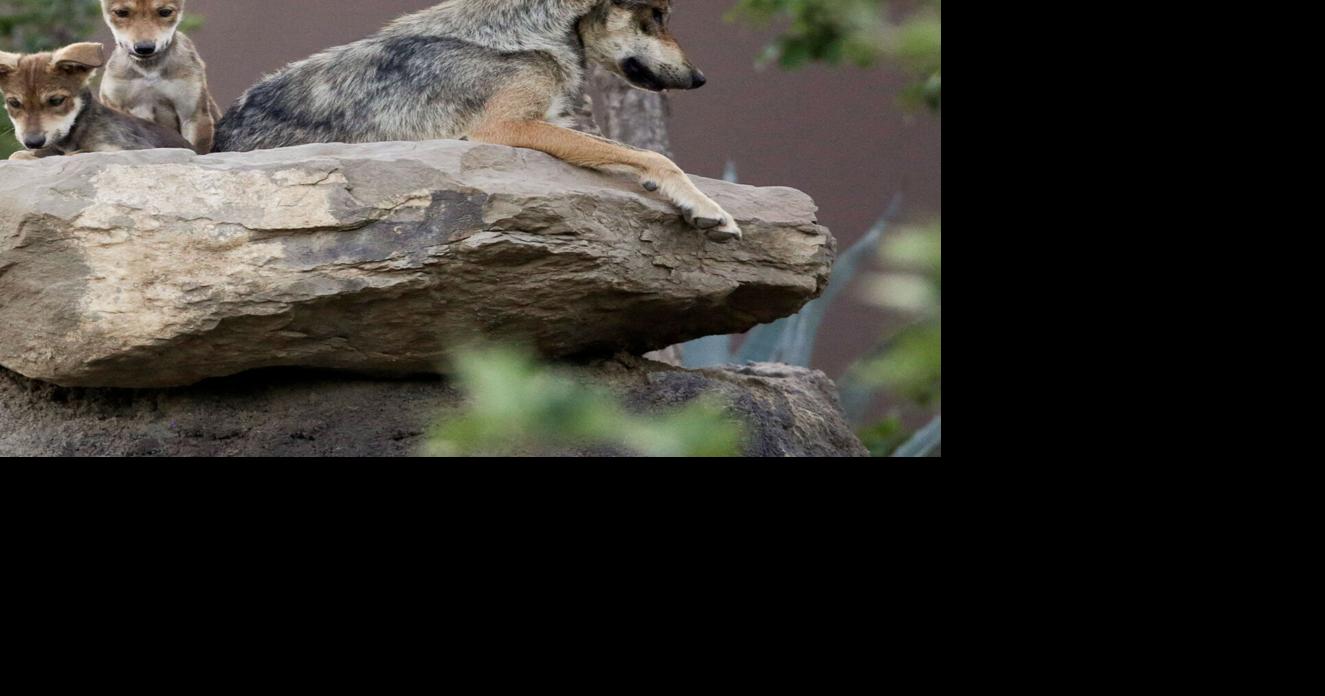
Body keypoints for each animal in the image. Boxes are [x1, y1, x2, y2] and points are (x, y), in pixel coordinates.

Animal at [98, 0, 222, 154]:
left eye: (165, 12)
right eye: (121, 12)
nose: (144, 48)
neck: (148, 71)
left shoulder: (192, 115)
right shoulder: (114, 103)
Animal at [214, 0, 741, 241]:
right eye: (658, 15)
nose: (700, 78)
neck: (526, 33)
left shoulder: (560, 119)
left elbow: (628, 151)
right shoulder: (506, 129)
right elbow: (654, 155)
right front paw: (710, 208)